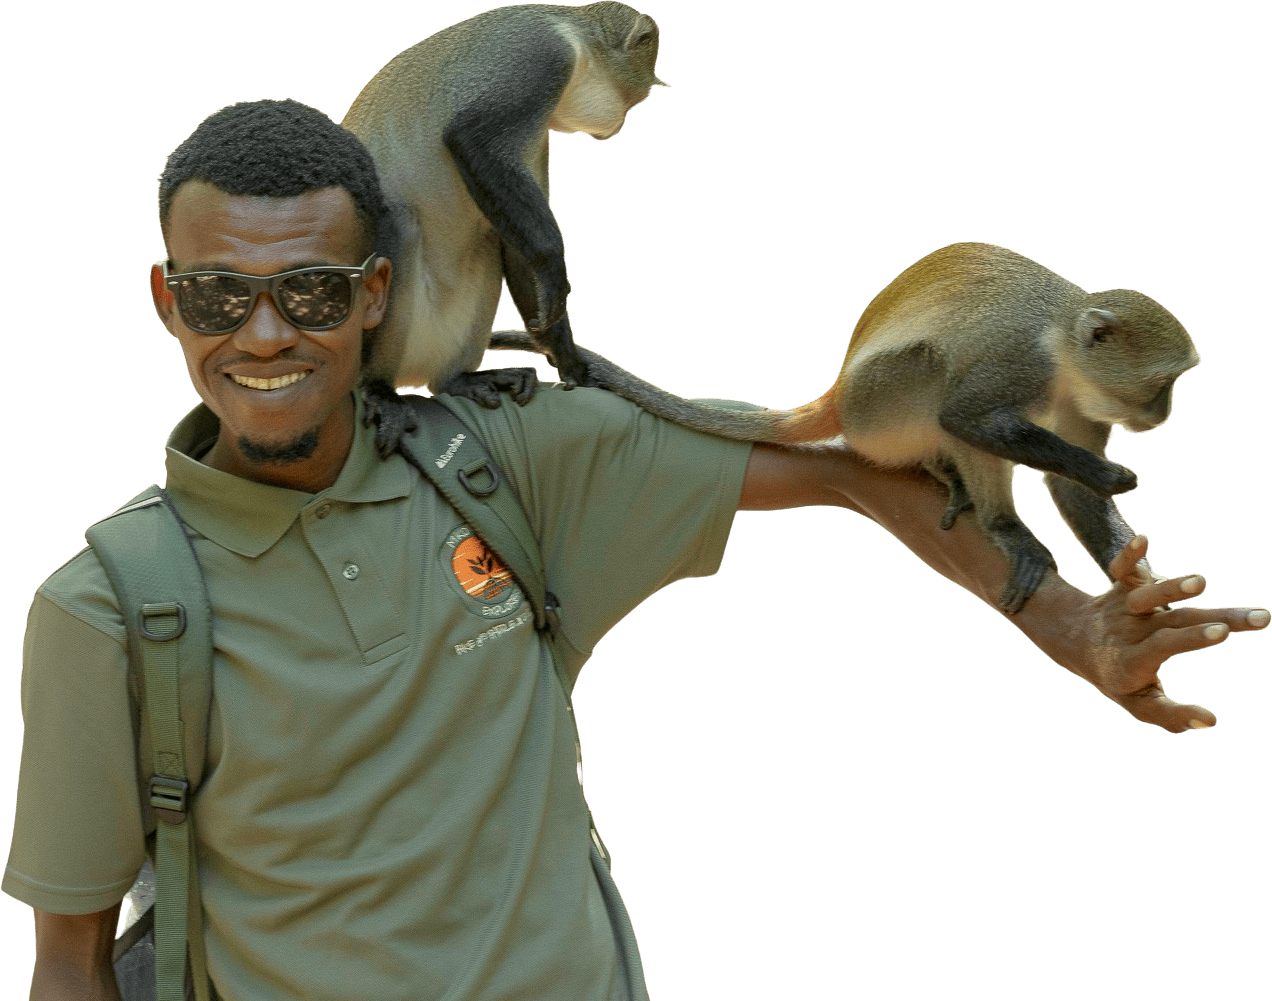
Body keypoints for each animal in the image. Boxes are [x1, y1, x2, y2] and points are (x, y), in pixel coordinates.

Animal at [341, 2, 669, 454]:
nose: (618, 121)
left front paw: (571, 363)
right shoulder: (541, 58)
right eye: (635, 98)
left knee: (490, 237)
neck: (577, 37)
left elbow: (517, 247)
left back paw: (460, 379)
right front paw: (553, 266)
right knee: (400, 223)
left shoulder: (538, 133)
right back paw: (377, 389)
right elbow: (472, 139)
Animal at [488, 242, 1201, 613]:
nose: (1163, 414)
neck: (1064, 349)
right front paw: (1106, 472)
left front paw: (1142, 583)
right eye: (1162, 385)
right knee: (937, 380)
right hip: (880, 401)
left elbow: (1073, 491)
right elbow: (963, 415)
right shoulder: (1020, 361)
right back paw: (1001, 525)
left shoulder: (1085, 401)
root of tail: (838, 390)